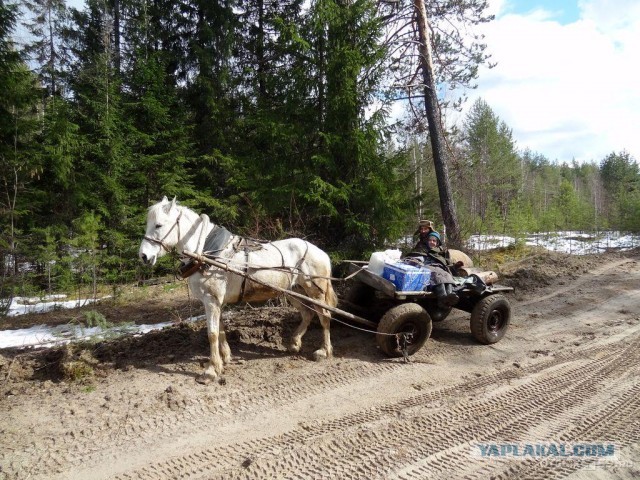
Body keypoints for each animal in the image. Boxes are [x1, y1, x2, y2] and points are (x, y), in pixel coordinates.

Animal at [138, 197, 338, 384]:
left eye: (158, 225)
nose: (143, 256)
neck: (206, 252)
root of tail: (320, 252)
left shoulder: (211, 300)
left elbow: (211, 334)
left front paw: (210, 371)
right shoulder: (215, 301)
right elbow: (220, 329)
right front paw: (224, 358)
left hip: (316, 292)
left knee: (324, 316)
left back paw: (324, 351)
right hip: (293, 291)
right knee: (307, 313)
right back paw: (295, 343)